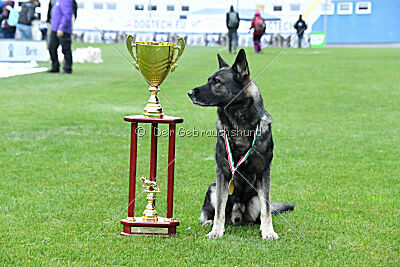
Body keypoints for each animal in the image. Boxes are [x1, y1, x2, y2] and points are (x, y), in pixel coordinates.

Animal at [188, 49, 294, 240]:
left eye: (216, 82)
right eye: (209, 80)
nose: (189, 93)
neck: (239, 124)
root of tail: (238, 216)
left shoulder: (263, 174)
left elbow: (267, 210)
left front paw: (268, 231)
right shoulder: (222, 174)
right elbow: (219, 210)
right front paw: (216, 230)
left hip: (254, 198)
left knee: (258, 214)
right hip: (213, 187)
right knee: (215, 212)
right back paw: (209, 222)